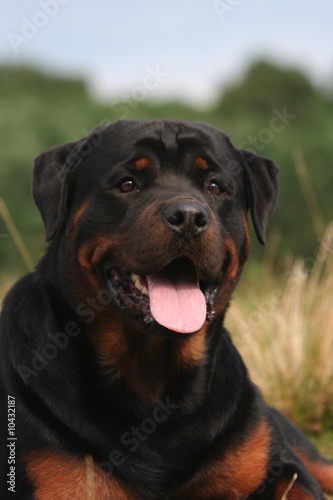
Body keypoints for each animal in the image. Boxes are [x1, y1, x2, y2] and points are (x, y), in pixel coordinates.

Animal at [0, 119, 332, 498]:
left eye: (215, 186)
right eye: (127, 183)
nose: (188, 216)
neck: (156, 381)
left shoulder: (277, 462)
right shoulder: (60, 479)